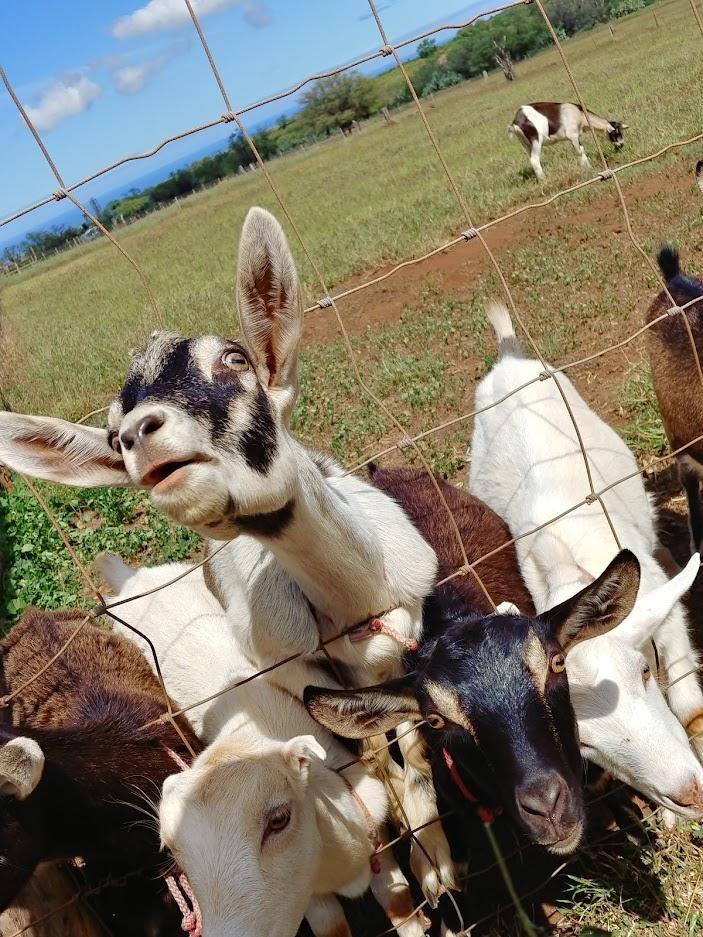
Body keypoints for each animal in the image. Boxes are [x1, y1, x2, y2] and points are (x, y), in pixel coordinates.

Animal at [99, 556, 428, 936]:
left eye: (279, 820)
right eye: (170, 848)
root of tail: (129, 578)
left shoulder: (376, 840)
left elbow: (400, 904)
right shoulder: (314, 902)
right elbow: (332, 927)